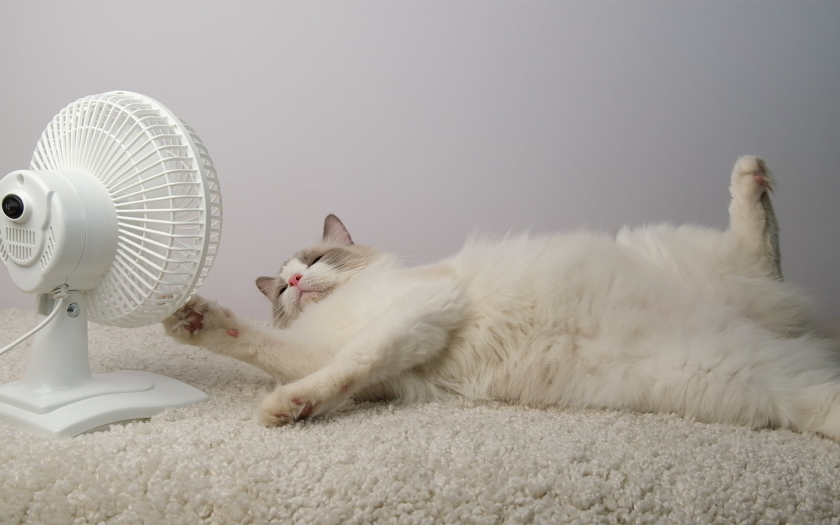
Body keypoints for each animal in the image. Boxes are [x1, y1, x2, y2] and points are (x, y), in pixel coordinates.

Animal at [162, 158, 840, 440]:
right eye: (282, 288)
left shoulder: (418, 311)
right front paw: (193, 321)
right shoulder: (361, 360)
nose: (299, 283)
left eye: (317, 261)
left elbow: (349, 361)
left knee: (761, 243)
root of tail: (791, 325)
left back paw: (750, 172)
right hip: (749, 380)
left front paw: (287, 407)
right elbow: (286, 358)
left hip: (706, 265)